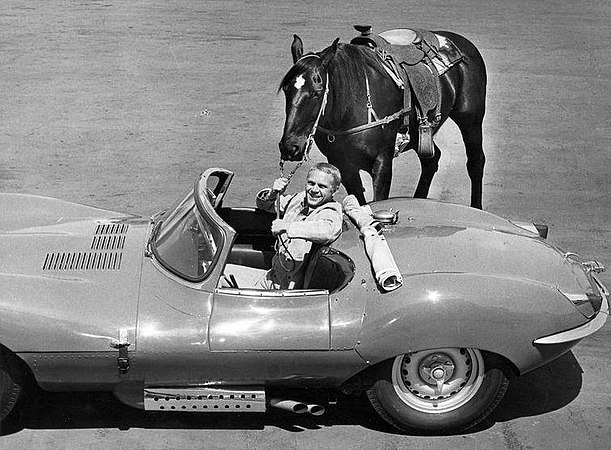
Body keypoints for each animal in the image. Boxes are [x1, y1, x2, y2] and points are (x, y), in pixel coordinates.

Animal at [278, 31, 488, 207]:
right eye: (287, 89)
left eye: (317, 92)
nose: (290, 147)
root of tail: (463, 43)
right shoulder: (344, 166)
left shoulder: (382, 162)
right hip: (419, 135)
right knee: (431, 159)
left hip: (471, 121)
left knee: (475, 162)